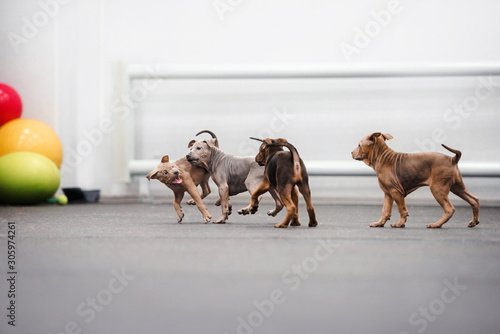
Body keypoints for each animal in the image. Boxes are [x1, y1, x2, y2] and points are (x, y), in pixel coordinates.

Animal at [352, 132, 480, 228]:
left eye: (359, 145)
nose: (351, 153)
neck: (381, 157)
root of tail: (452, 159)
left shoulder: (395, 192)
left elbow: (402, 209)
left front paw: (400, 224)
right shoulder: (388, 193)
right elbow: (385, 210)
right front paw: (379, 223)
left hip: (438, 189)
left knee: (449, 209)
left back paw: (436, 224)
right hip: (457, 187)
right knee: (474, 200)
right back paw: (474, 222)